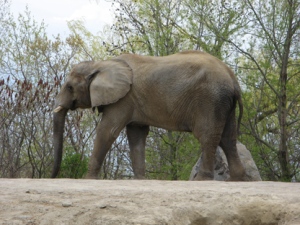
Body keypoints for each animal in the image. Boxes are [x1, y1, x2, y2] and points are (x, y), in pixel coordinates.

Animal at [51, 50, 247, 180]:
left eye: (70, 87)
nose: (53, 176)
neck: (101, 63)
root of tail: (233, 79)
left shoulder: (123, 99)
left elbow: (108, 131)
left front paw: (88, 179)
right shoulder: (133, 102)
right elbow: (136, 135)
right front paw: (140, 180)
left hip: (210, 100)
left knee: (207, 136)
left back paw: (201, 180)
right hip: (223, 103)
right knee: (228, 139)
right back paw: (237, 179)